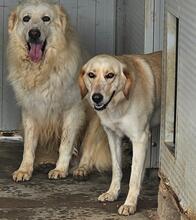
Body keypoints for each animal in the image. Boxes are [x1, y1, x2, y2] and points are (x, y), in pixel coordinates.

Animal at [7, 0, 111, 182]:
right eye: (26, 18)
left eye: (46, 18)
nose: (34, 33)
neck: (43, 70)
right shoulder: (30, 111)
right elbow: (29, 146)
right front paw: (24, 169)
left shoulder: (73, 111)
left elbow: (66, 144)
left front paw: (60, 169)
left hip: (95, 124)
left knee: (87, 153)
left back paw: (81, 169)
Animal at [79, 52, 162, 216]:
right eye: (91, 75)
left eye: (110, 75)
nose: (96, 97)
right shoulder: (113, 136)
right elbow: (117, 169)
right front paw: (112, 193)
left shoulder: (140, 138)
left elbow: (134, 178)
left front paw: (130, 203)